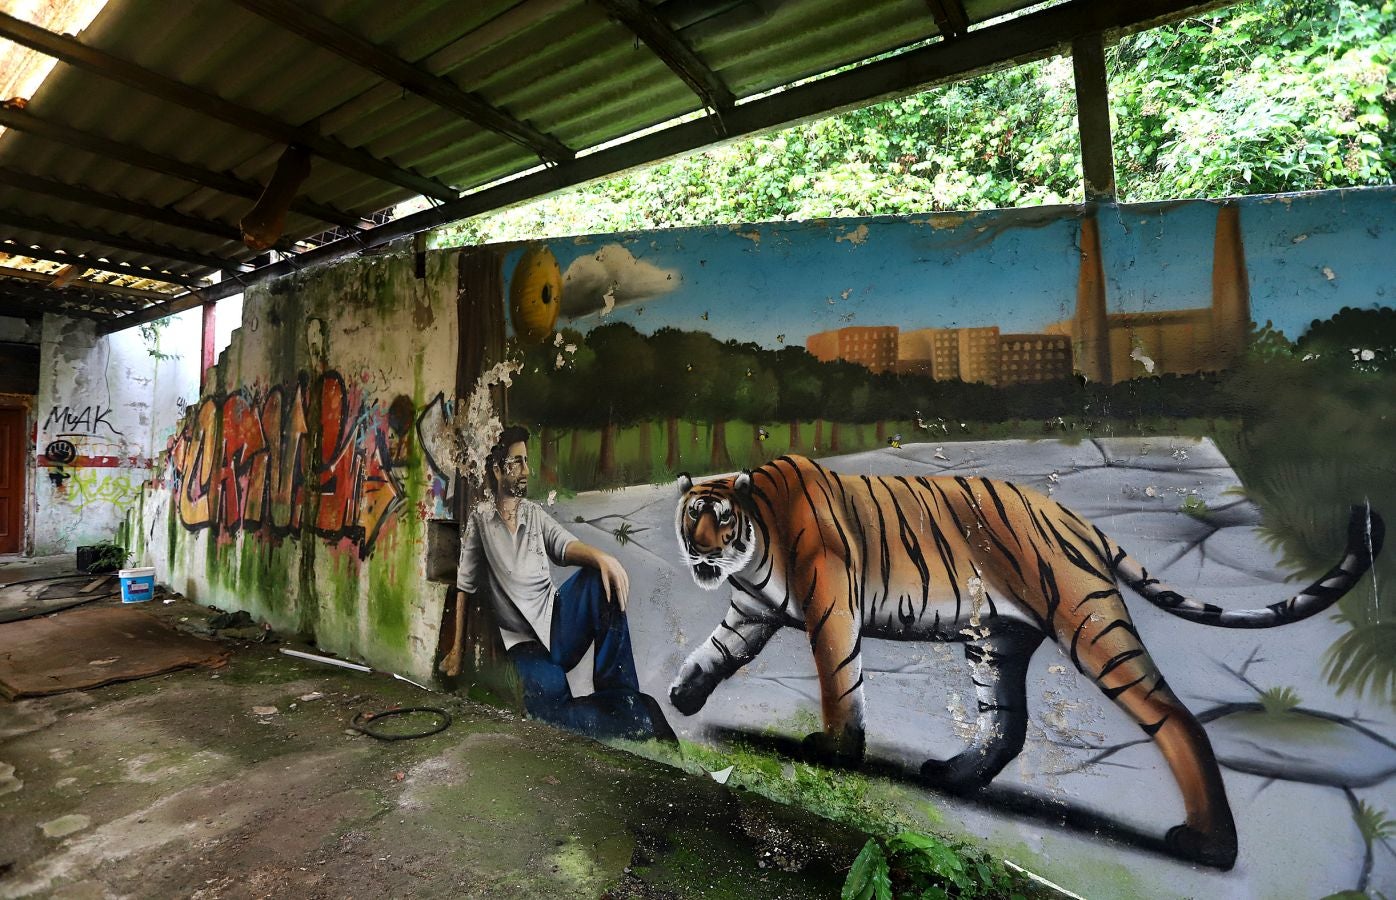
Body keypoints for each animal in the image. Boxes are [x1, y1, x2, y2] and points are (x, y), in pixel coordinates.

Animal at [667, 452, 1384, 865]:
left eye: (721, 519)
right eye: (690, 516)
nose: (699, 553)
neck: (756, 544)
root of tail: (1073, 516)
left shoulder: (830, 611)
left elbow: (837, 680)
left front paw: (836, 750)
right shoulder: (752, 610)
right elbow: (713, 651)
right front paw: (681, 697)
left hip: (1089, 623)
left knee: (1177, 718)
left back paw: (1210, 846)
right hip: (995, 640)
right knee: (1006, 726)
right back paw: (953, 775)